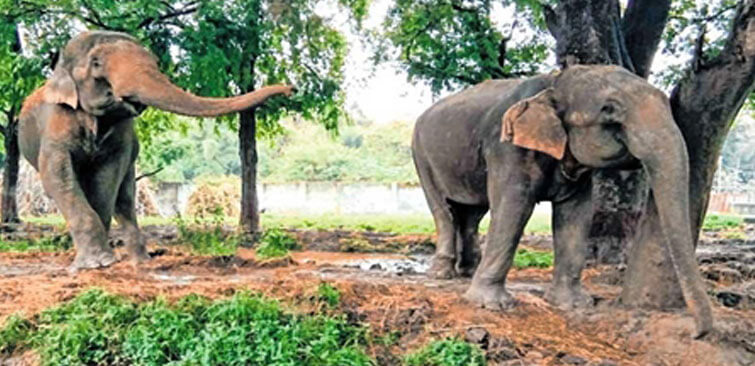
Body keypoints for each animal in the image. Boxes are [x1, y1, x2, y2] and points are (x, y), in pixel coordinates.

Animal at [17, 31, 296, 270]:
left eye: (155, 61)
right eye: (96, 63)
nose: (291, 88)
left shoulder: (122, 137)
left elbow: (106, 179)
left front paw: (103, 261)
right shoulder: (56, 124)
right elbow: (58, 176)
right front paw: (96, 264)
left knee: (125, 198)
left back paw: (141, 262)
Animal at [414, 65, 716, 338]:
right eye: (609, 111)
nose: (696, 333)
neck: (556, 81)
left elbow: (576, 215)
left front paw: (574, 304)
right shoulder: (506, 147)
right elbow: (514, 208)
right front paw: (491, 305)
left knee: (472, 213)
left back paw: (468, 270)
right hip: (421, 156)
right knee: (443, 210)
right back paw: (441, 273)